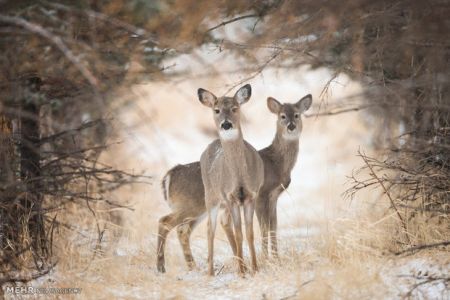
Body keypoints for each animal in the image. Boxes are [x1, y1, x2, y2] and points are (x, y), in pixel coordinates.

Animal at [156, 92, 312, 274]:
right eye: (282, 116)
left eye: (297, 115)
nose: (291, 126)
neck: (277, 163)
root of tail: (169, 176)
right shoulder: (261, 194)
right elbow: (264, 227)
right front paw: (266, 259)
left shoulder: (273, 197)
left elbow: (273, 226)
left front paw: (276, 260)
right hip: (190, 205)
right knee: (165, 222)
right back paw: (162, 266)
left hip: (196, 210)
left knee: (183, 230)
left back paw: (192, 266)